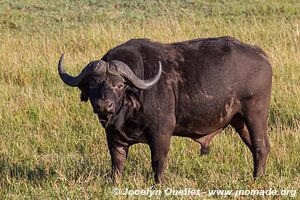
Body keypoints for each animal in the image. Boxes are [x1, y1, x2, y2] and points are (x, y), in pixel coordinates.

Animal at [58, 36, 272, 183]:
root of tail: (262, 56)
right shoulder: (113, 138)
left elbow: (158, 162)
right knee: (258, 146)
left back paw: (257, 179)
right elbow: (117, 165)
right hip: (239, 120)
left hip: (255, 115)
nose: (104, 105)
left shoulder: (161, 133)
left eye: (119, 85)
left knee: (260, 146)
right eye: (94, 83)